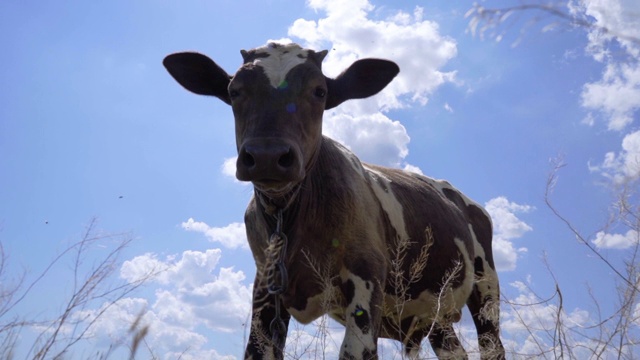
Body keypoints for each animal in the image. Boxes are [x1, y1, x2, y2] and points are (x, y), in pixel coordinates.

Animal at [162, 43, 502, 360]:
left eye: (320, 91)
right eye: (234, 91)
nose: (267, 156)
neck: (290, 218)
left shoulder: (367, 276)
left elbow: (355, 350)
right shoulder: (265, 289)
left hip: (486, 288)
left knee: (492, 345)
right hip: (434, 315)